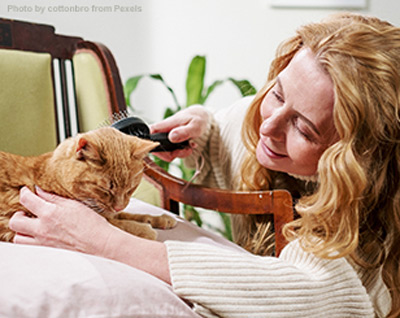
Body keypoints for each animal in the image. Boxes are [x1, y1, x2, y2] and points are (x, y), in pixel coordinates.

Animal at [0, 126, 177, 241]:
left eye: (130, 188)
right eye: (105, 189)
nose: (118, 206)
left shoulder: (111, 211)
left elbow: (132, 215)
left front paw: (160, 219)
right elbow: (120, 225)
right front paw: (145, 230)